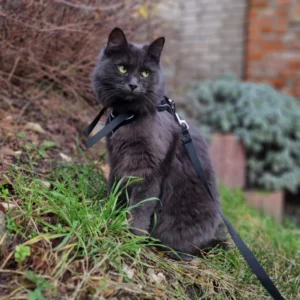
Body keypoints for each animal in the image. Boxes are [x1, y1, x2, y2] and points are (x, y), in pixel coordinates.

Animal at [92, 28, 226, 260]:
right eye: (122, 68)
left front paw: (131, 236)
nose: (133, 85)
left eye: (145, 73)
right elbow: (115, 191)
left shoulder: (149, 171)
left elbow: (140, 208)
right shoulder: (117, 163)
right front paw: (109, 213)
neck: (128, 117)